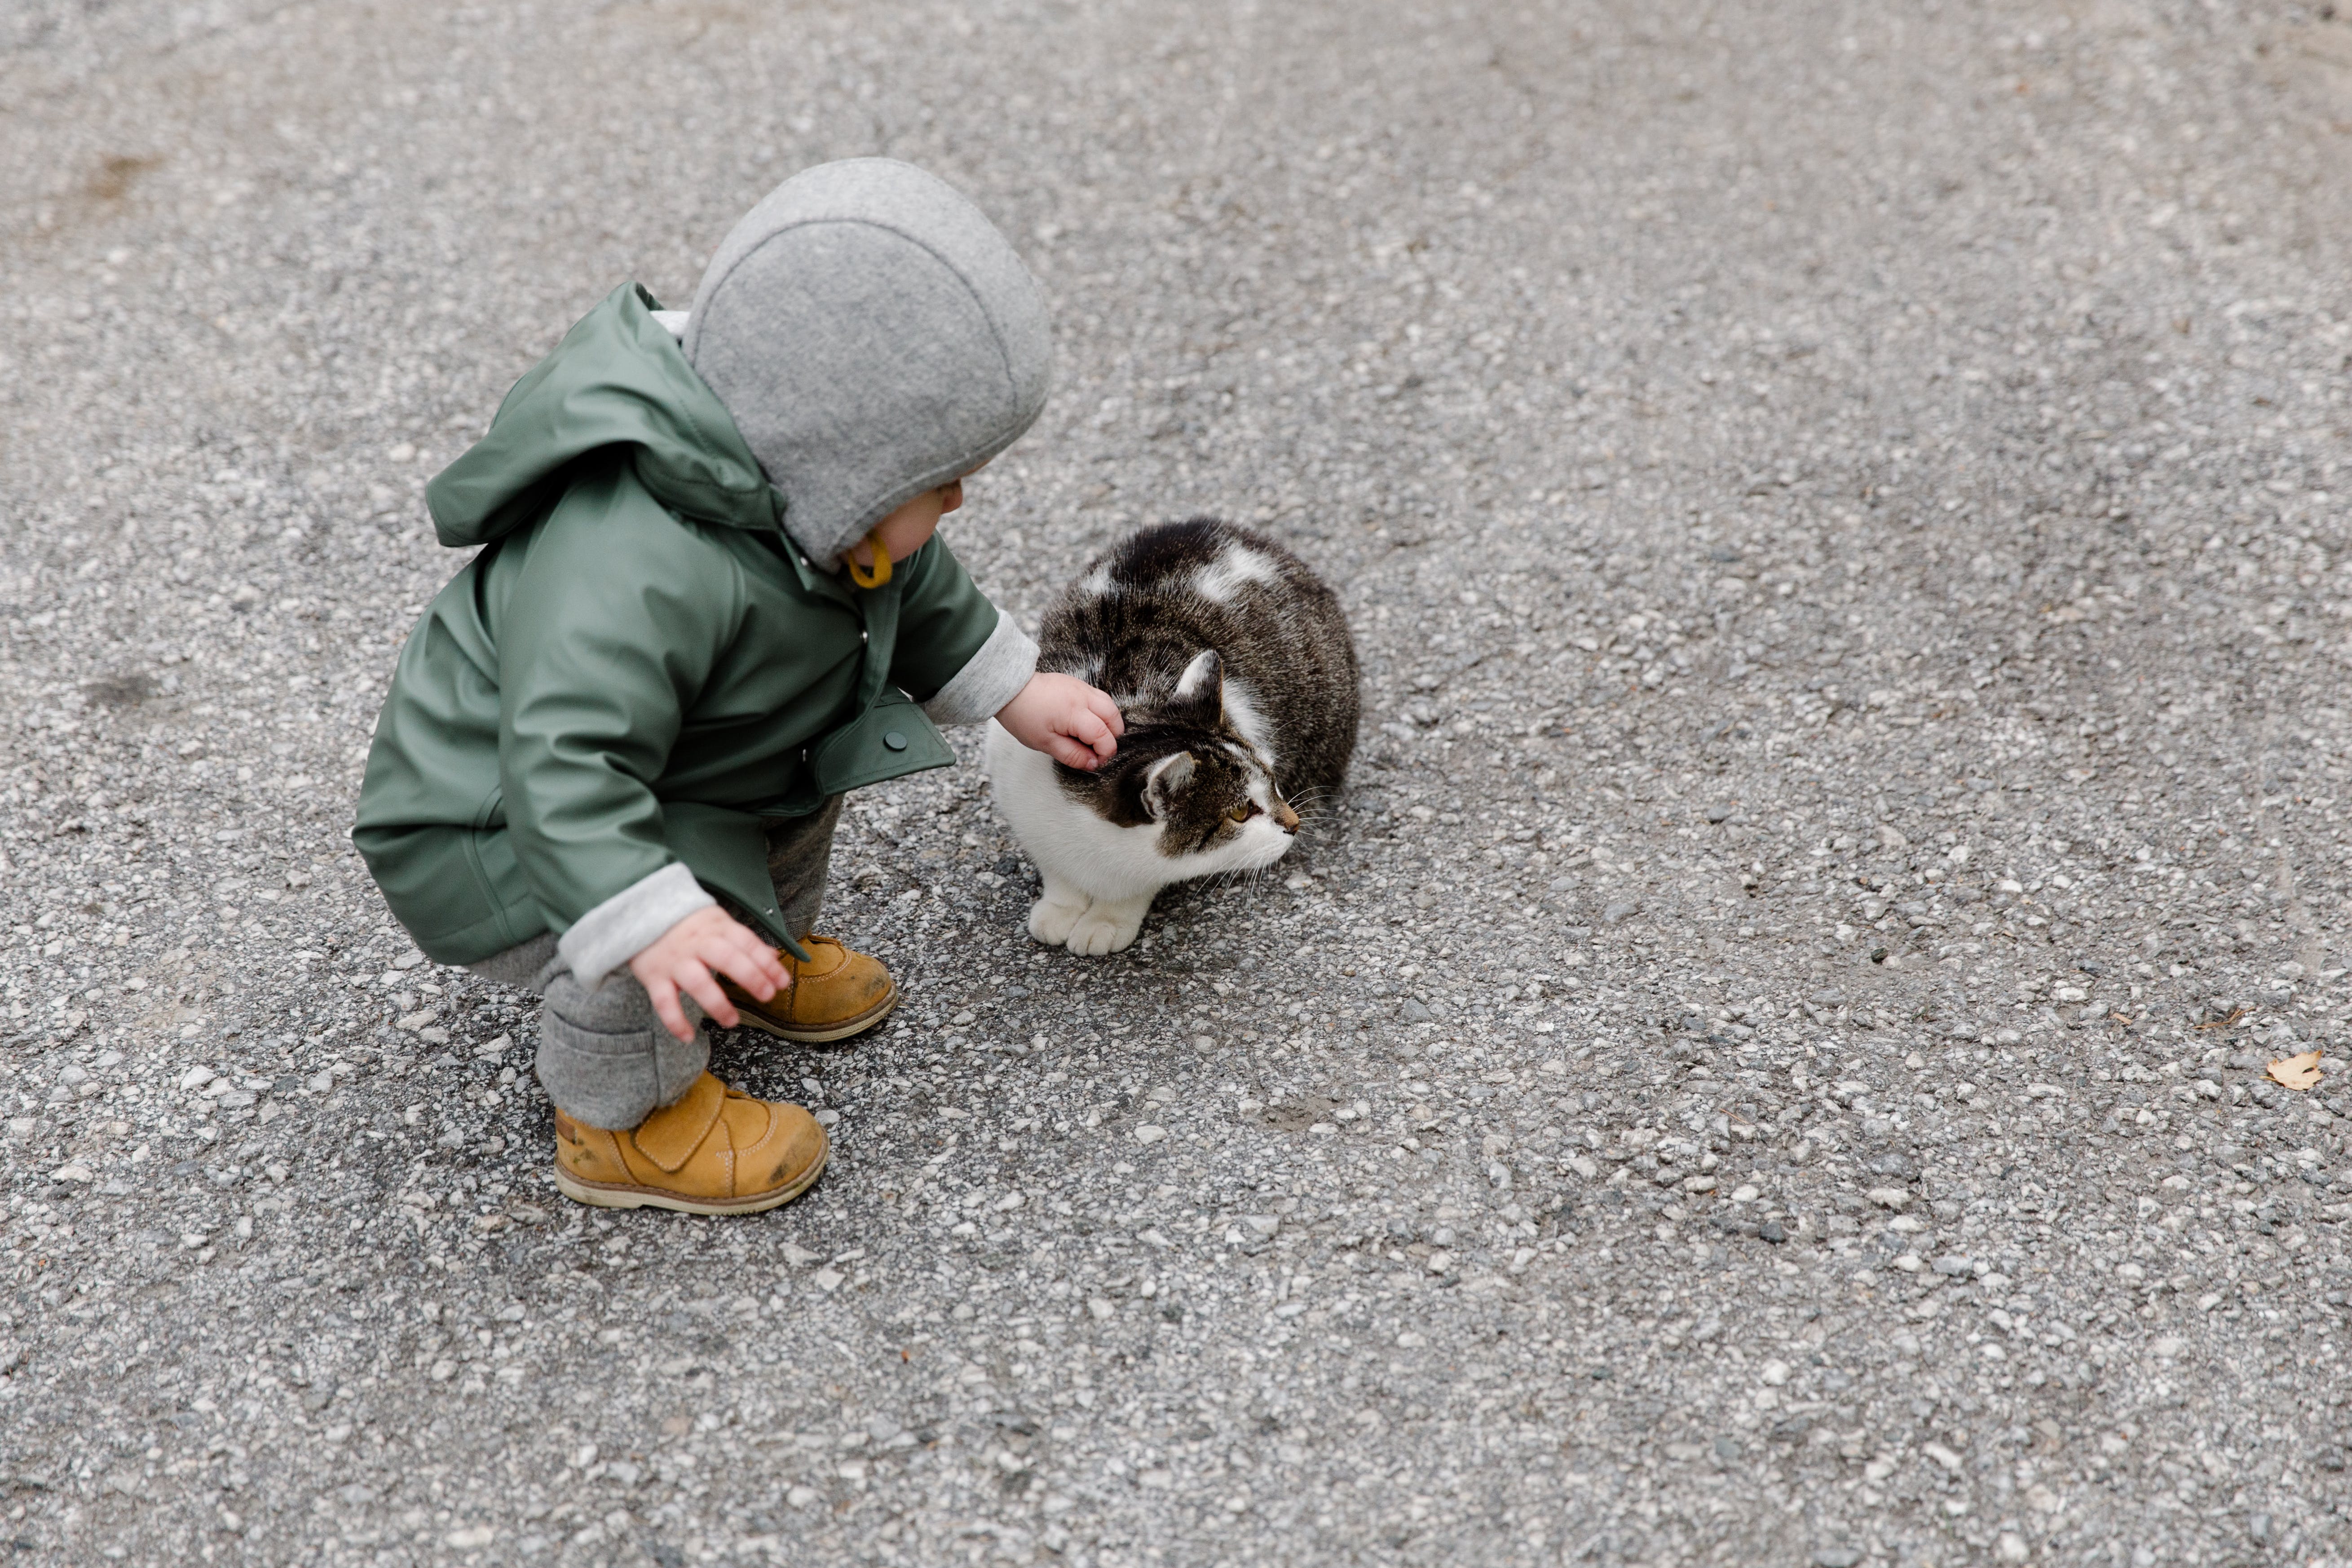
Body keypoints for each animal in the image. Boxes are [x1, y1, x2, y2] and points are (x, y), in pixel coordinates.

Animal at [988, 517, 1364, 959]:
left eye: (1272, 781)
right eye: (1240, 812)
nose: (1294, 823)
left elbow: (1137, 883)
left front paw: (1108, 920)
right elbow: (1057, 870)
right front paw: (1060, 907)